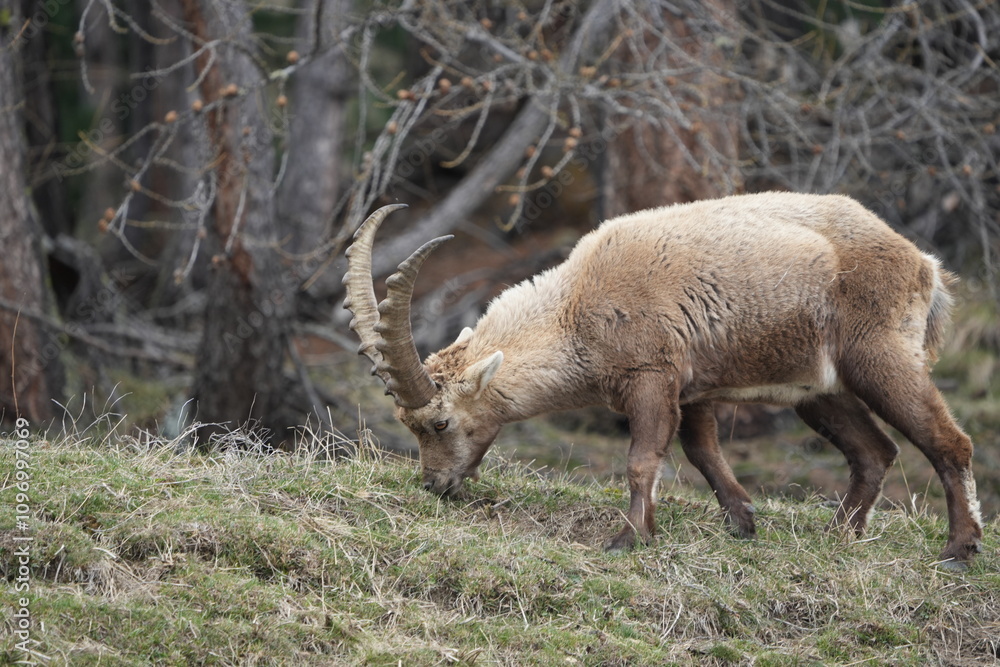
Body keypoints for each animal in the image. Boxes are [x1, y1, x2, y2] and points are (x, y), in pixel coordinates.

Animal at [343, 192, 983, 568]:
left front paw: (627, 540)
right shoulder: (692, 388)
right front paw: (741, 523)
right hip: (818, 390)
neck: (575, 309)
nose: (434, 485)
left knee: (949, 441)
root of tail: (922, 263)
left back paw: (958, 549)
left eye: (439, 422)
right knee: (875, 451)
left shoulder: (652, 376)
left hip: (881, 358)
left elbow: (642, 459)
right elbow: (701, 452)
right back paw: (838, 537)